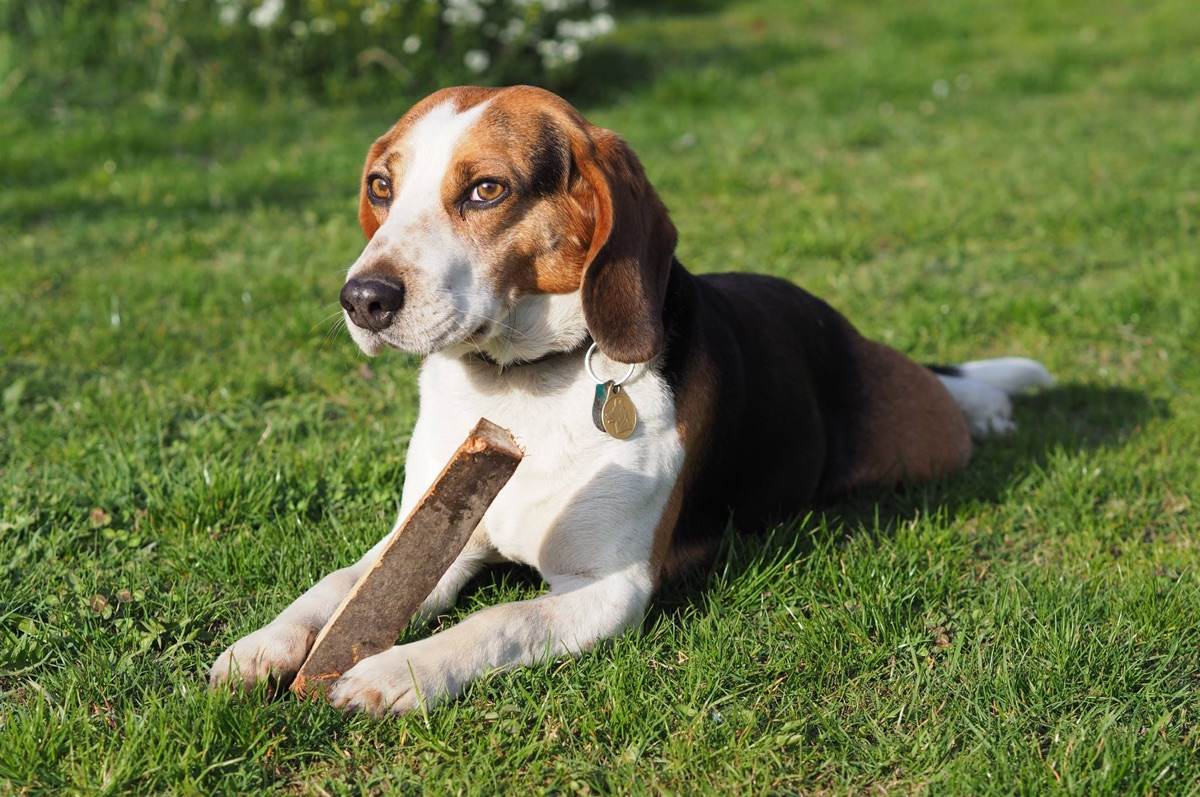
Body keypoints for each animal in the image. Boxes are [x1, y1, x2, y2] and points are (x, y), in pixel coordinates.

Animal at [208, 84, 1051, 710]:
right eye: (381, 187)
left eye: (486, 190)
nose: (363, 299)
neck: (521, 386)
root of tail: (844, 326)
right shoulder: (432, 538)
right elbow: (338, 587)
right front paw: (264, 644)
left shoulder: (609, 587)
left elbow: (497, 622)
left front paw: (395, 670)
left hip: (920, 443)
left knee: (955, 402)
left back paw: (991, 408)